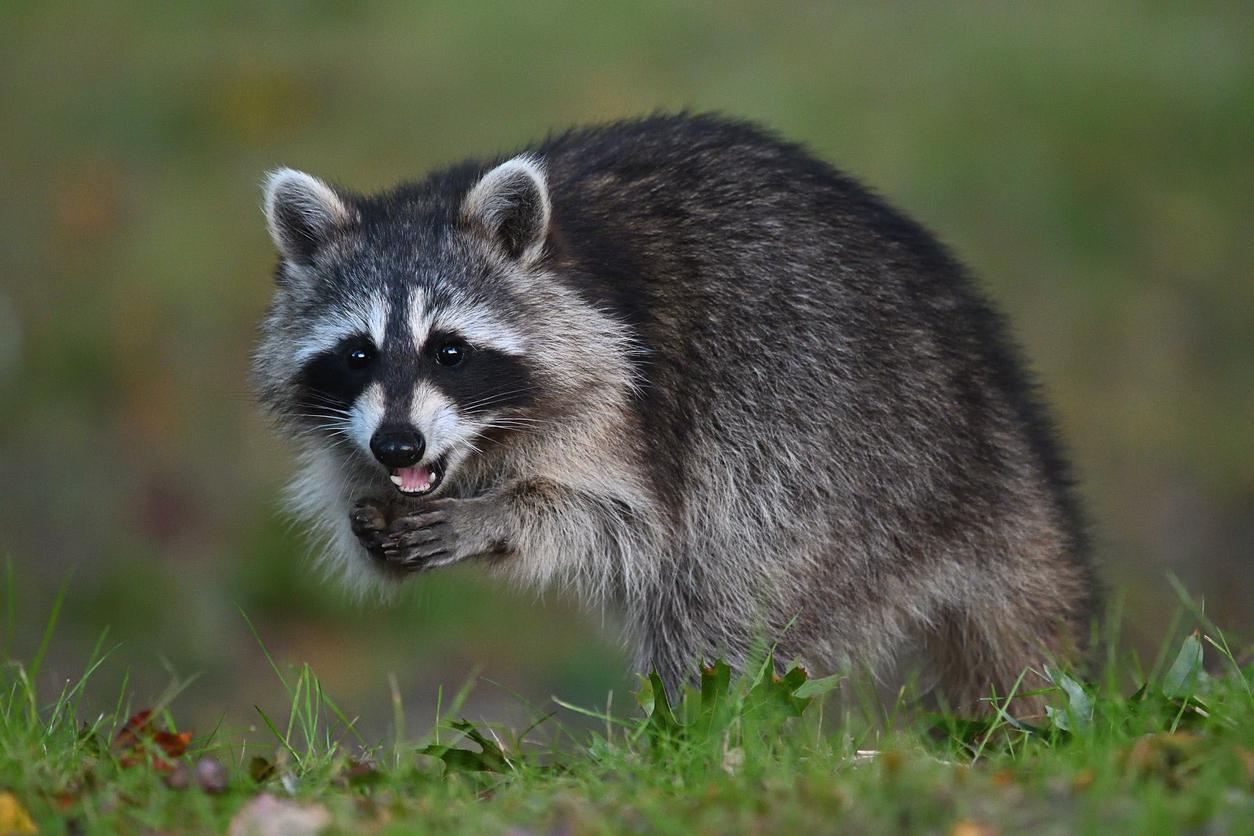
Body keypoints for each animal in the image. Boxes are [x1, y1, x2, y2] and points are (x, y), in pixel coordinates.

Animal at [254, 109, 1098, 711]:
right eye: (357, 355)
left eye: (450, 353)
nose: (398, 446)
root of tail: (993, 412)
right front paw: (375, 523)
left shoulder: (631, 392)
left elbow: (625, 522)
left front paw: (498, 516)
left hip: (838, 452)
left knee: (729, 583)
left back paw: (696, 730)